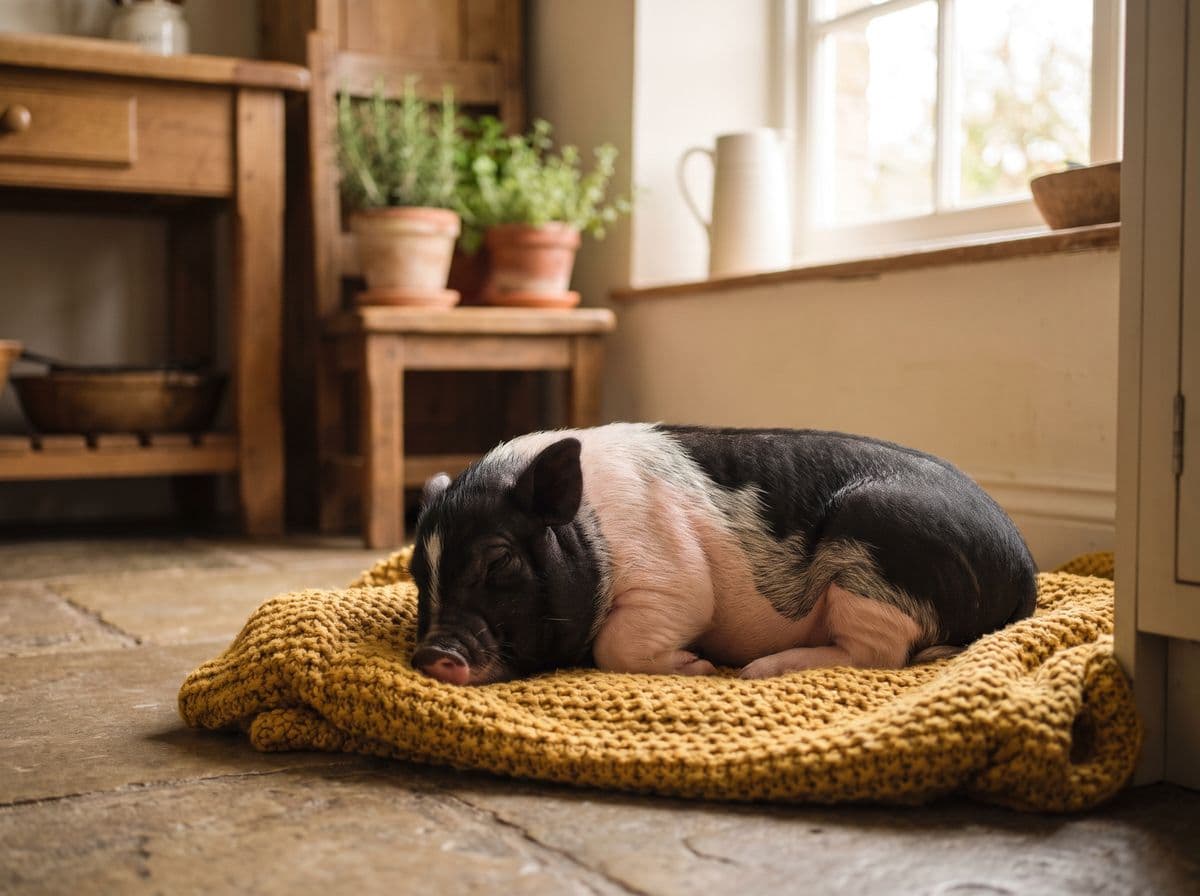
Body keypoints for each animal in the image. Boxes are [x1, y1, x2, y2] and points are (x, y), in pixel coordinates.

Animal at [408, 423, 1037, 685]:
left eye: (498, 562)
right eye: (417, 575)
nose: (430, 654)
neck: (588, 532)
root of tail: (1023, 573)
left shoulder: (672, 581)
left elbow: (618, 642)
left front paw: (701, 667)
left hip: (871, 558)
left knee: (879, 654)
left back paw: (755, 672)